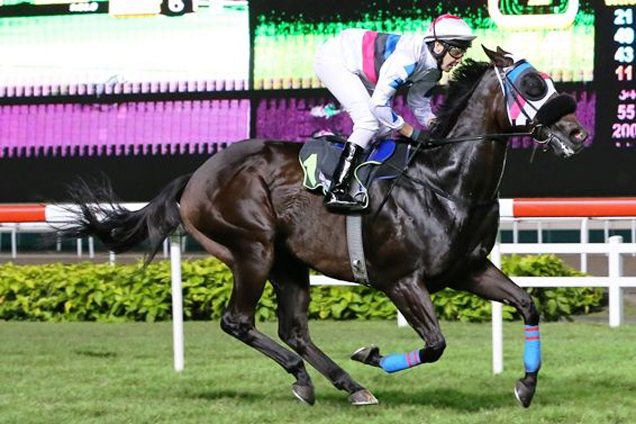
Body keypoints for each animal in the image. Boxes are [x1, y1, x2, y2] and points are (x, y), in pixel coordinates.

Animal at [60, 48, 588, 410]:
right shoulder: (400, 280)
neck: (445, 183)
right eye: (534, 84)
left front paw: (526, 385)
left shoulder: (468, 270)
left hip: (289, 262)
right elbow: (435, 344)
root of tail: (196, 176)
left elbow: (528, 304)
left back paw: (349, 387)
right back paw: (305, 377)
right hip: (252, 250)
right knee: (239, 321)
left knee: (293, 329)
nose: (579, 133)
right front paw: (371, 354)